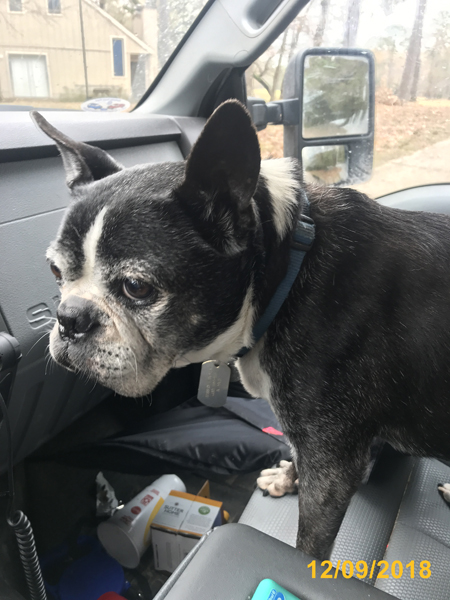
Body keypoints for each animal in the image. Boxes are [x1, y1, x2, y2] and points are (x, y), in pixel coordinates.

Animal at [32, 100, 450, 559]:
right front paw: (286, 478)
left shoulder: (332, 466)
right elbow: (297, 456)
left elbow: (309, 543)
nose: (70, 317)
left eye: (137, 287)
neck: (285, 271)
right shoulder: (317, 447)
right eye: (55, 272)